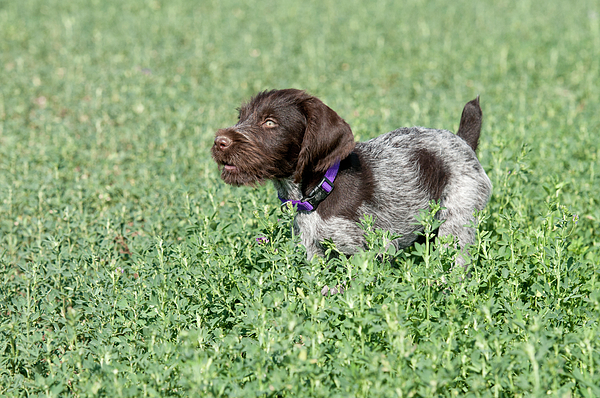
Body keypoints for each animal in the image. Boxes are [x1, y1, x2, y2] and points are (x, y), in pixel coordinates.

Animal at [211, 90, 492, 264]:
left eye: (269, 122)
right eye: (241, 117)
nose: (218, 141)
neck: (321, 189)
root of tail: (463, 142)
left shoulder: (364, 251)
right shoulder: (314, 251)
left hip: (456, 224)